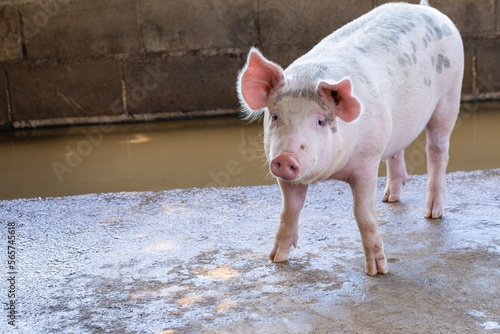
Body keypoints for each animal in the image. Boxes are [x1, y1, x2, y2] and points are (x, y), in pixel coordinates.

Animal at [236, 0, 462, 276]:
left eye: (320, 121)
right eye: (276, 116)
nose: (286, 158)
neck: (332, 174)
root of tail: (426, 9)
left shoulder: (368, 162)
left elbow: (363, 214)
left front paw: (378, 271)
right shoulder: (286, 175)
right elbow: (289, 211)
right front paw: (276, 258)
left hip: (451, 94)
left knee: (437, 149)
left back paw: (432, 213)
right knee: (397, 152)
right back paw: (390, 198)